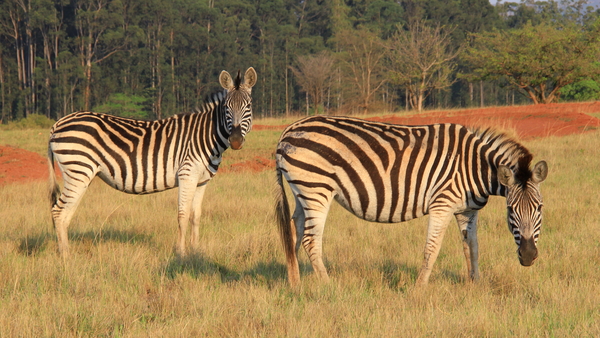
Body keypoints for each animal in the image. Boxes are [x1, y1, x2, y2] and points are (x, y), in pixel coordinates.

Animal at [48, 66, 258, 256]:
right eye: (226, 108)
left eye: (248, 107)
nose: (236, 140)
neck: (205, 136)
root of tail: (58, 123)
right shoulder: (187, 175)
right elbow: (182, 215)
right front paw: (181, 254)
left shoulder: (202, 181)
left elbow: (195, 216)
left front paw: (196, 252)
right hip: (78, 171)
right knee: (58, 211)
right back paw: (66, 257)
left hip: (81, 175)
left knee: (65, 213)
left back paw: (65, 252)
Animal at [276, 115, 548, 286]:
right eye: (511, 210)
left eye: (540, 208)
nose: (527, 256)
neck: (473, 166)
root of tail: (288, 130)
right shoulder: (442, 203)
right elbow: (432, 248)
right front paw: (419, 289)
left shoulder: (467, 211)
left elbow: (472, 247)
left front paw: (476, 285)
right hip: (317, 190)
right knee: (311, 240)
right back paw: (329, 286)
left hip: (302, 192)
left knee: (294, 231)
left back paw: (295, 284)